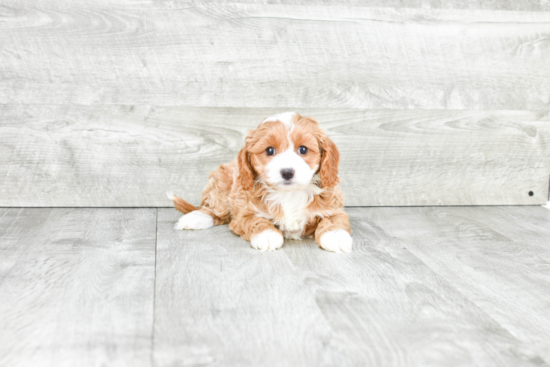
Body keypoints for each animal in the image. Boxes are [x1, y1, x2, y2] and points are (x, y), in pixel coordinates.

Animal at [166, 111, 354, 253]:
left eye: (303, 149)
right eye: (269, 150)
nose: (287, 172)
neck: (289, 194)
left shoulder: (333, 206)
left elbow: (334, 220)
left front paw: (336, 236)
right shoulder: (244, 212)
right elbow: (255, 220)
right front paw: (267, 235)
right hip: (222, 185)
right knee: (214, 211)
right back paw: (195, 218)